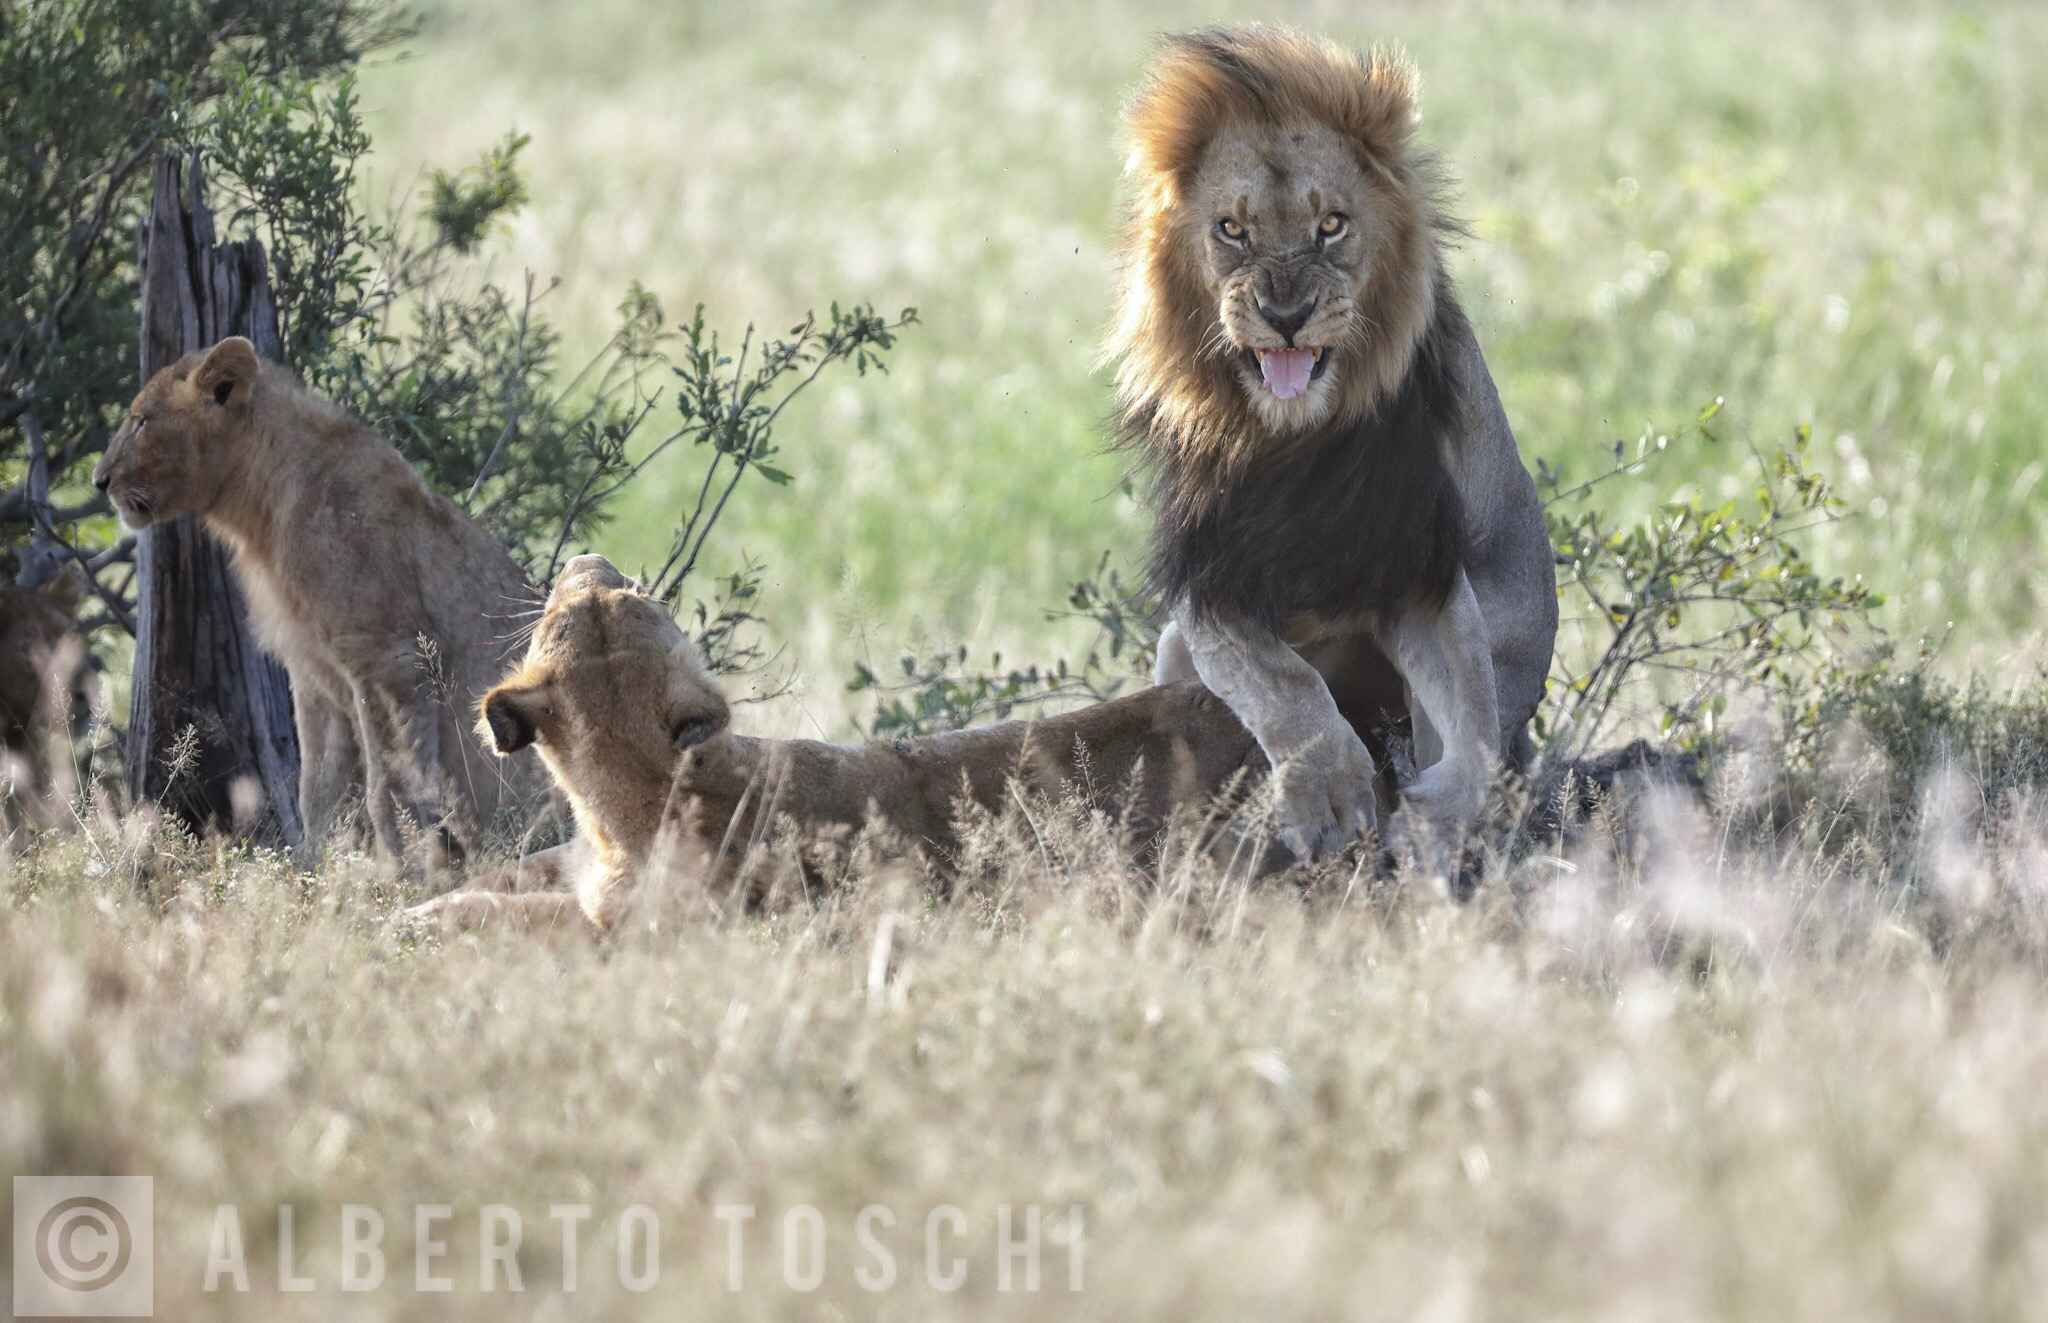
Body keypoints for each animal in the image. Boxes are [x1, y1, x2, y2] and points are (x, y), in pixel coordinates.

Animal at [91, 336, 548, 863]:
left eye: (142, 421)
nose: (99, 480)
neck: (260, 513)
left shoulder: (388, 658)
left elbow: (388, 785)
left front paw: (406, 868)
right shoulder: (314, 675)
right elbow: (318, 791)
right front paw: (317, 867)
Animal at [407, 554, 1270, 936]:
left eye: (627, 593)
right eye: (584, 596)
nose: (585, 555)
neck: (635, 797)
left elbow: (524, 915)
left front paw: (420, 925)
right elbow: (509, 879)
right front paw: (420, 908)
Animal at [1108, 26, 1558, 861]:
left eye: (1332, 225)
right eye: (1232, 230)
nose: (1286, 315)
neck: (1294, 441)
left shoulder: (1419, 566)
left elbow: (1469, 721)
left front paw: (1438, 817)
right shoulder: (1207, 582)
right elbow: (1281, 684)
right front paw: (1331, 793)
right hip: (1172, 654)